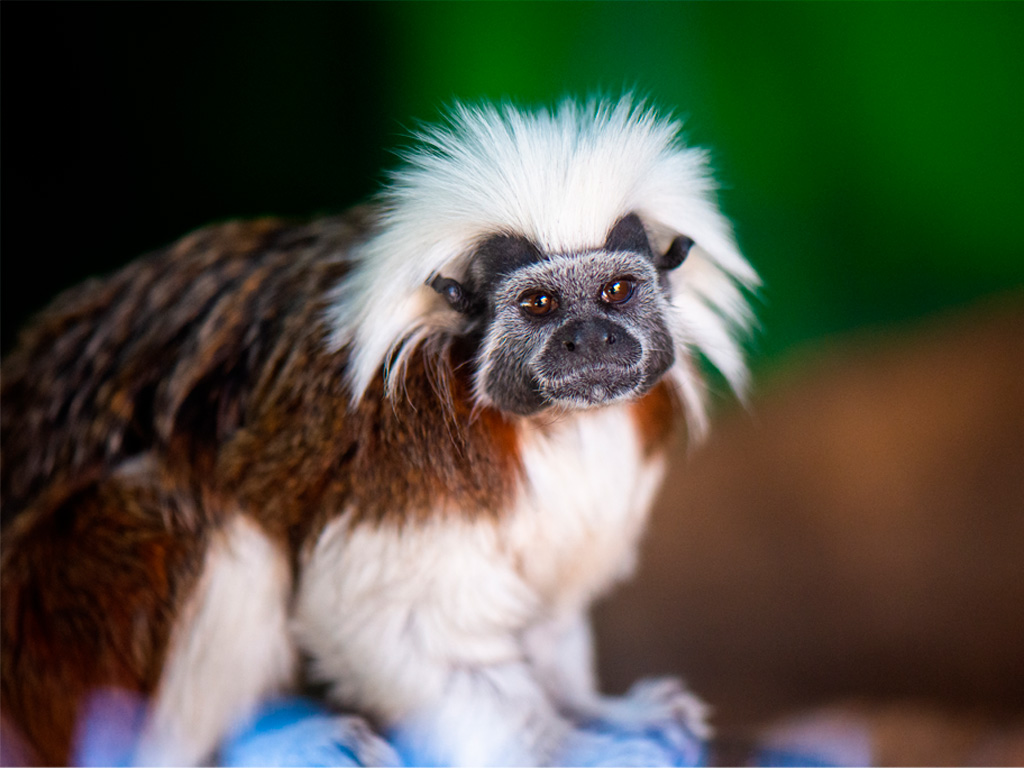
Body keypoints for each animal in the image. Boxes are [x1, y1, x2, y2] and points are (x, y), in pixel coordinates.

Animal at [0, 97, 758, 766]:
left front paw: (595, 710)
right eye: (540, 304)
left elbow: (544, 605)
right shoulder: (403, 448)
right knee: (203, 526)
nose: (589, 339)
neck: (553, 424)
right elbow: (388, 623)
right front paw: (570, 746)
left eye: (616, 292)